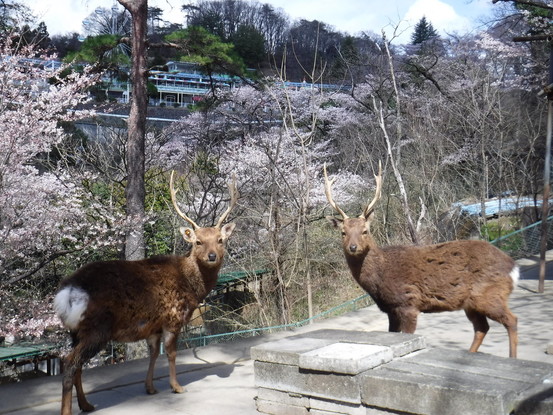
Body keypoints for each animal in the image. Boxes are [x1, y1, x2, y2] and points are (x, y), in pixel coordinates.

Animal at [52, 172, 238, 415]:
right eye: (198, 241)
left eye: (220, 240)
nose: (212, 256)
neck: (191, 287)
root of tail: (67, 292)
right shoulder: (173, 318)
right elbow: (171, 354)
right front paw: (177, 387)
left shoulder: (153, 326)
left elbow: (153, 355)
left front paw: (149, 387)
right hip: (97, 328)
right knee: (69, 362)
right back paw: (70, 409)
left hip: (75, 331)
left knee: (78, 366)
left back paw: (86, 404)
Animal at [324, 164, 516, 360]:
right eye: (343, 232)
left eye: (365, 231)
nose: (353, 247)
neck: (381, 275)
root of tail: (512, 266)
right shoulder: (391, 309)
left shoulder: (408, 303)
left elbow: (408, 335)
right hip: (471, 303)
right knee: (482, 327)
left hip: (488, 294)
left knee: (511, 320)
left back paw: (512, 357)